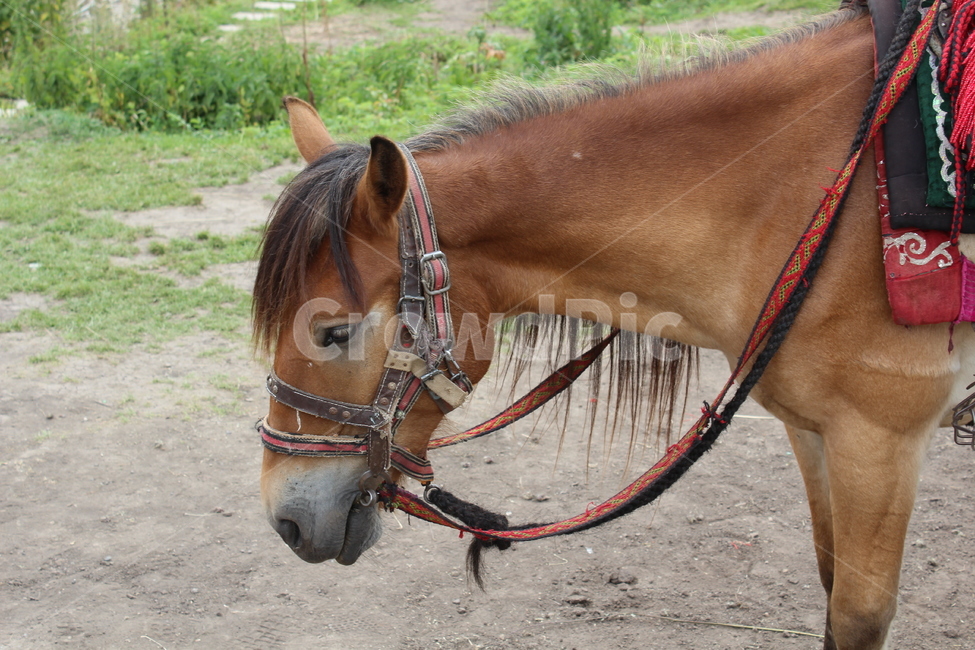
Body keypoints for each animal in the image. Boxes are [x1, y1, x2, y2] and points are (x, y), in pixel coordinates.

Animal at [251, 4, 975, 648]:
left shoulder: (877, 441)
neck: (807, 193)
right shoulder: (814, 433)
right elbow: (828, 582)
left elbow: (856, 616)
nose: (286, 520)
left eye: (332, 332)